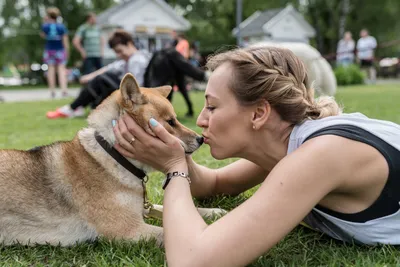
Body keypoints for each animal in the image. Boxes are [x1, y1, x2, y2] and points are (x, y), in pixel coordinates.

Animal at [0, 73, 225, 247]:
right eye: (170, 122)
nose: (201, 139)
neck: (113, 156)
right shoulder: (127, 229)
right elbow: (169, 232)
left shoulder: (141, 210)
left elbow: (181, 210)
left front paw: (213, 212)